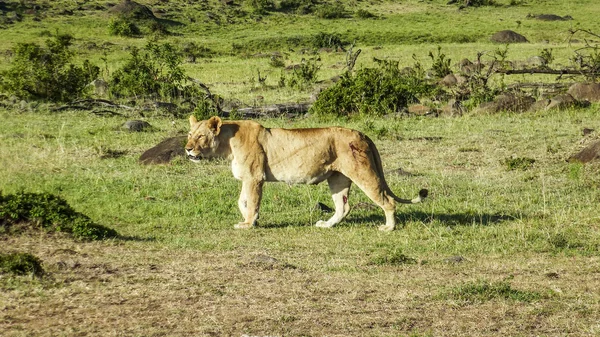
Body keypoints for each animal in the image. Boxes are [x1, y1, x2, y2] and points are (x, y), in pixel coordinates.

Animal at [188, 116, 426, 231]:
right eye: (190, 134)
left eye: (201, 136)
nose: (188, 149)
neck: (227, 143)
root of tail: (363, 134)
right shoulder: (248, 178)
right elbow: (242, 201)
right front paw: (249, 218)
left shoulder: (255, 177)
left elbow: (252, 201)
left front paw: (248, 223)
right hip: (338, 179)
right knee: (343, 207)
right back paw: (326, 225)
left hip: (363, 172)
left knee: (387, 201)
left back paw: (388, 228)